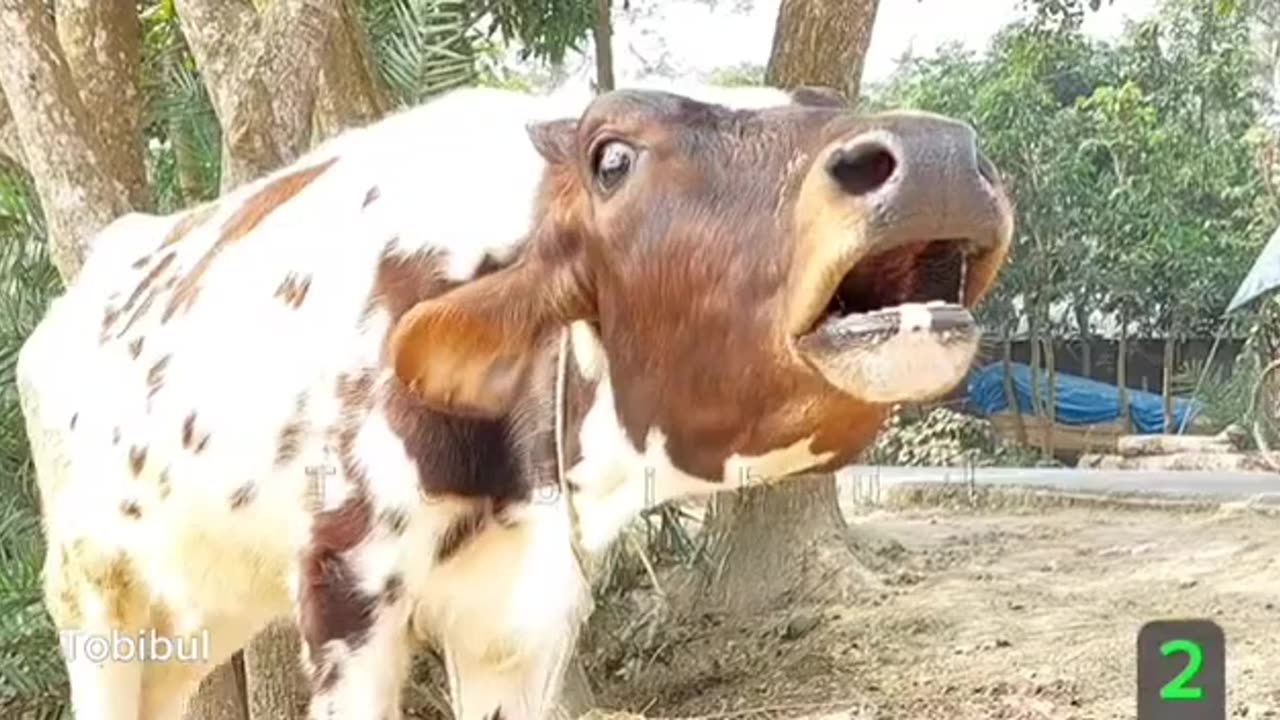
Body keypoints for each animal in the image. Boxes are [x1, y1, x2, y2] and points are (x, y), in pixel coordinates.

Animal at [17, 83, 1008, 717]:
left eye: (826, 95)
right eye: (613, 157)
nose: (939, 157)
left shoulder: (518, 614)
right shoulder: (346, 588)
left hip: (197, 608)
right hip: (92, 591)